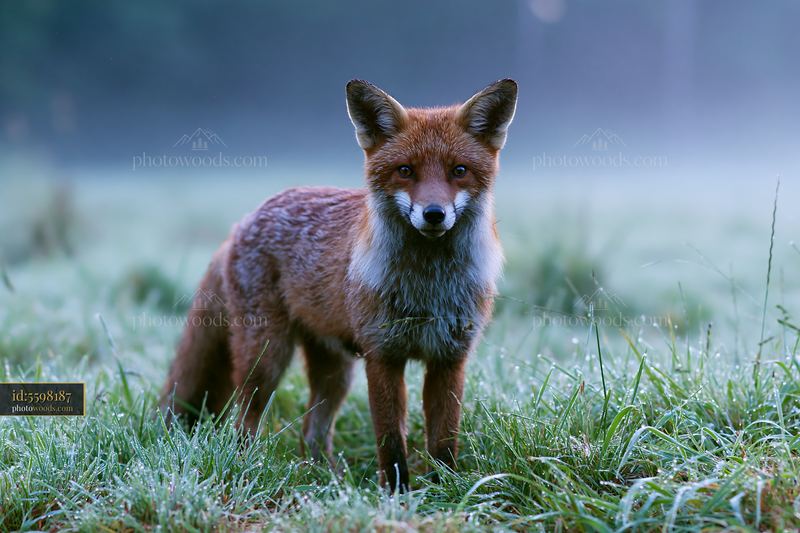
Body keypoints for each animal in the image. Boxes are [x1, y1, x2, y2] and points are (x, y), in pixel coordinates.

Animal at [160, 78, 517, 491]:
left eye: (459, 170)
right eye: (405, 170)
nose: (433, 214)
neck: (427, 286)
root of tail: (245, 219)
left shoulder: (449, 357)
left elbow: (443, 441)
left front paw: (446, 491)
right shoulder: (382, 355)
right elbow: (390, 440)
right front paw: (396, 493)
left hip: (335, 372)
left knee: (311, 432)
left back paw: (323, 480)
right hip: (267, 357)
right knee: (244, 418)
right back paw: (247, 468)